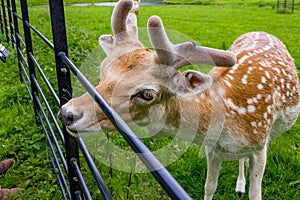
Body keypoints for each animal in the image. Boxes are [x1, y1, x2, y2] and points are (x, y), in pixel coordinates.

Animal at [57, 0, 298, 199]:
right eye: (102, 70)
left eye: (147, 94)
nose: (68, 113)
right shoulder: (213, 148)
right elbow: (209, 186)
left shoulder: (260, 145)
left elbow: (255, 193)